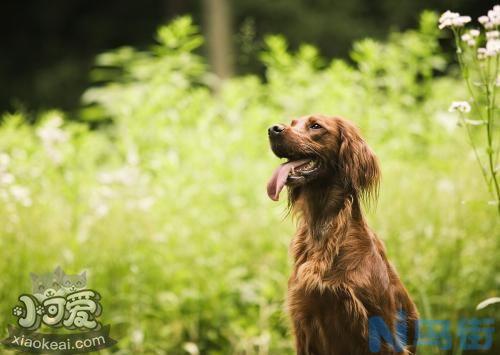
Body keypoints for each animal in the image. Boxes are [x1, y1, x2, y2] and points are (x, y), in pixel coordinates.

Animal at [266, 115, 418, 354]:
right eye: (292, 122)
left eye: (315, 126)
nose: (273, 129)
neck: (323, 230)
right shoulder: (303, 322)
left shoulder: (380, 331)